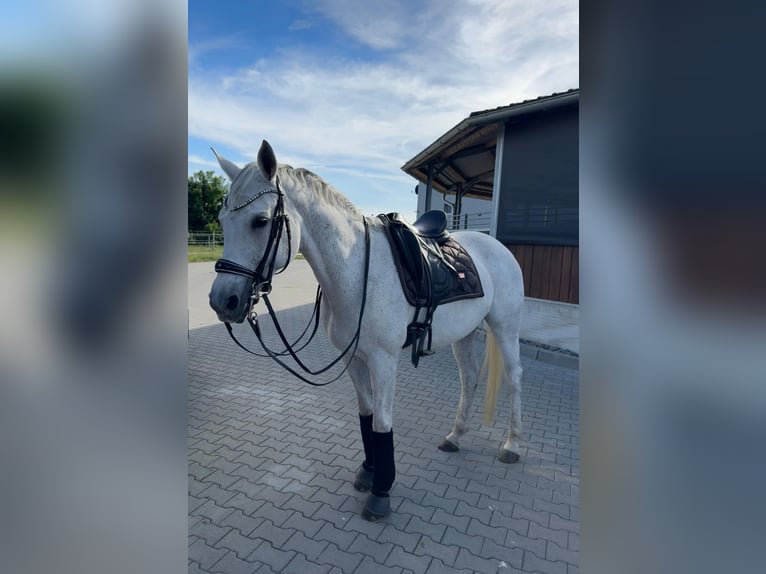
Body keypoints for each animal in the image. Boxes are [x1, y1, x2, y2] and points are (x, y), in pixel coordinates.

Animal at [209, 140, 524, 521]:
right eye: (222, 221)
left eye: (260, 221)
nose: (222, 301)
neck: (357, 269)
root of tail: (496, 246)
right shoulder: (354, 359)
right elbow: (366, 415)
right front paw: (369, 473)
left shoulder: (383, 361)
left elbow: (382, 424)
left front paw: (381, 493)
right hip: (463, 335)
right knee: (470, 377)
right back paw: (455, 436)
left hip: (505, 327)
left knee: (514, 377)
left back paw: (512, 444)